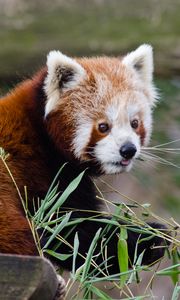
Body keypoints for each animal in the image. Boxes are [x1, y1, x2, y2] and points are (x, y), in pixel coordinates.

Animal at [0, 45, 167, 274]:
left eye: (135, 123)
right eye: (103, 126)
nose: (128, 150)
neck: (42, 133)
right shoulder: (42, 173)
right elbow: (76, 233)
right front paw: (149, 237)